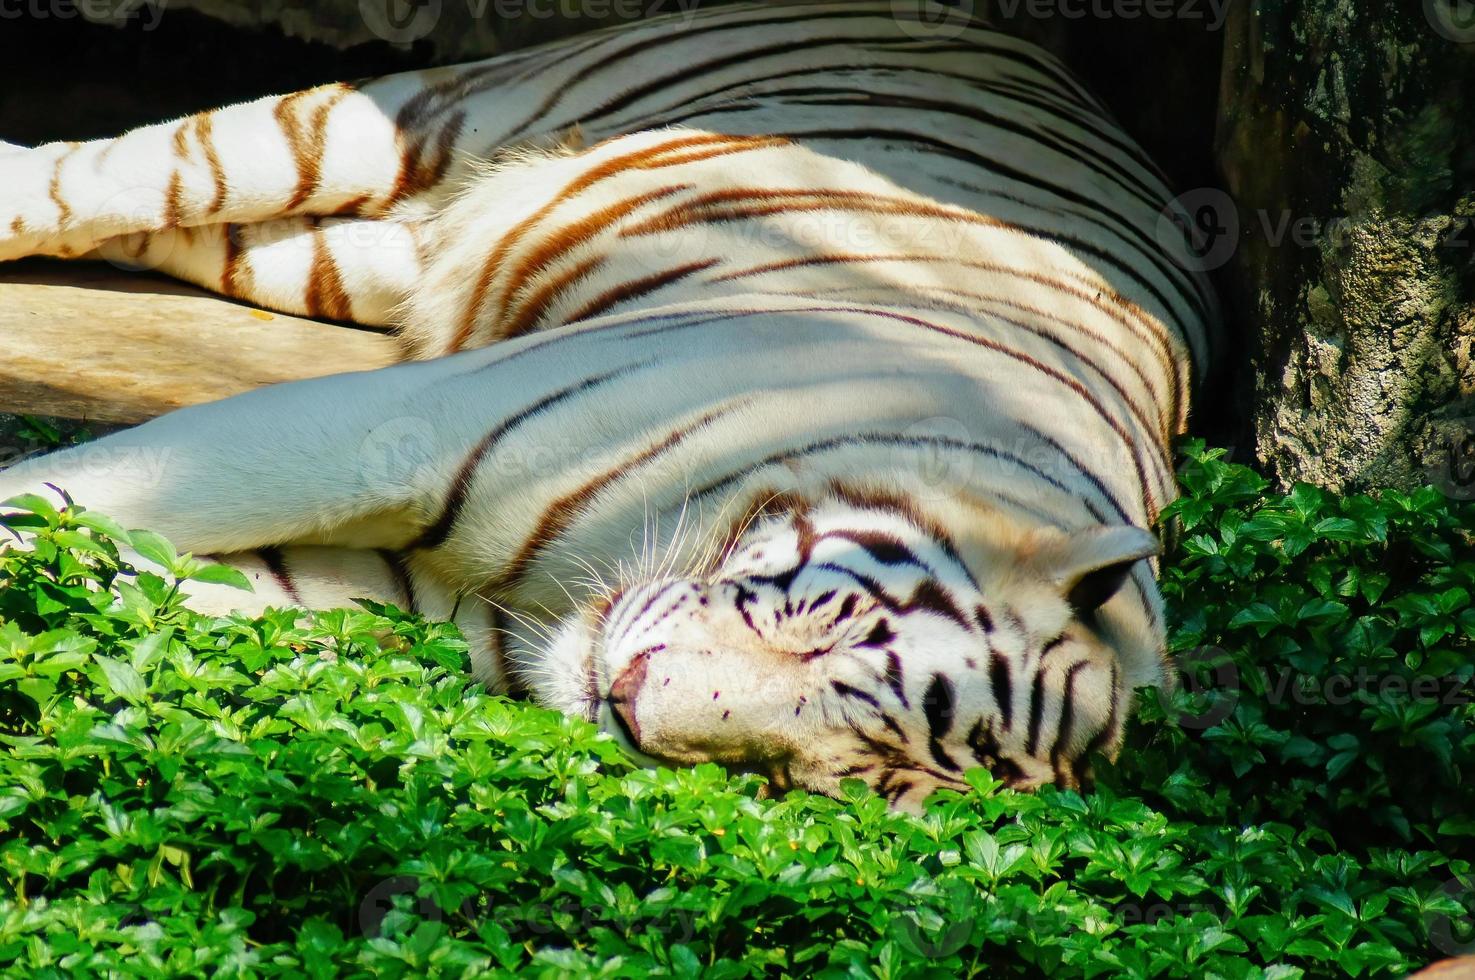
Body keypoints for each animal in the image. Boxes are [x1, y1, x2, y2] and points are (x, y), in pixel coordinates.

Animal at [0, 0, 1221, 808]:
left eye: (826, 772)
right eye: (831, 628)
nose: (629, 704)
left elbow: (173, 579)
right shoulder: (375, 434)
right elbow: (78, 493)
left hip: (349, 260)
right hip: (424, 113)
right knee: (128, 170)